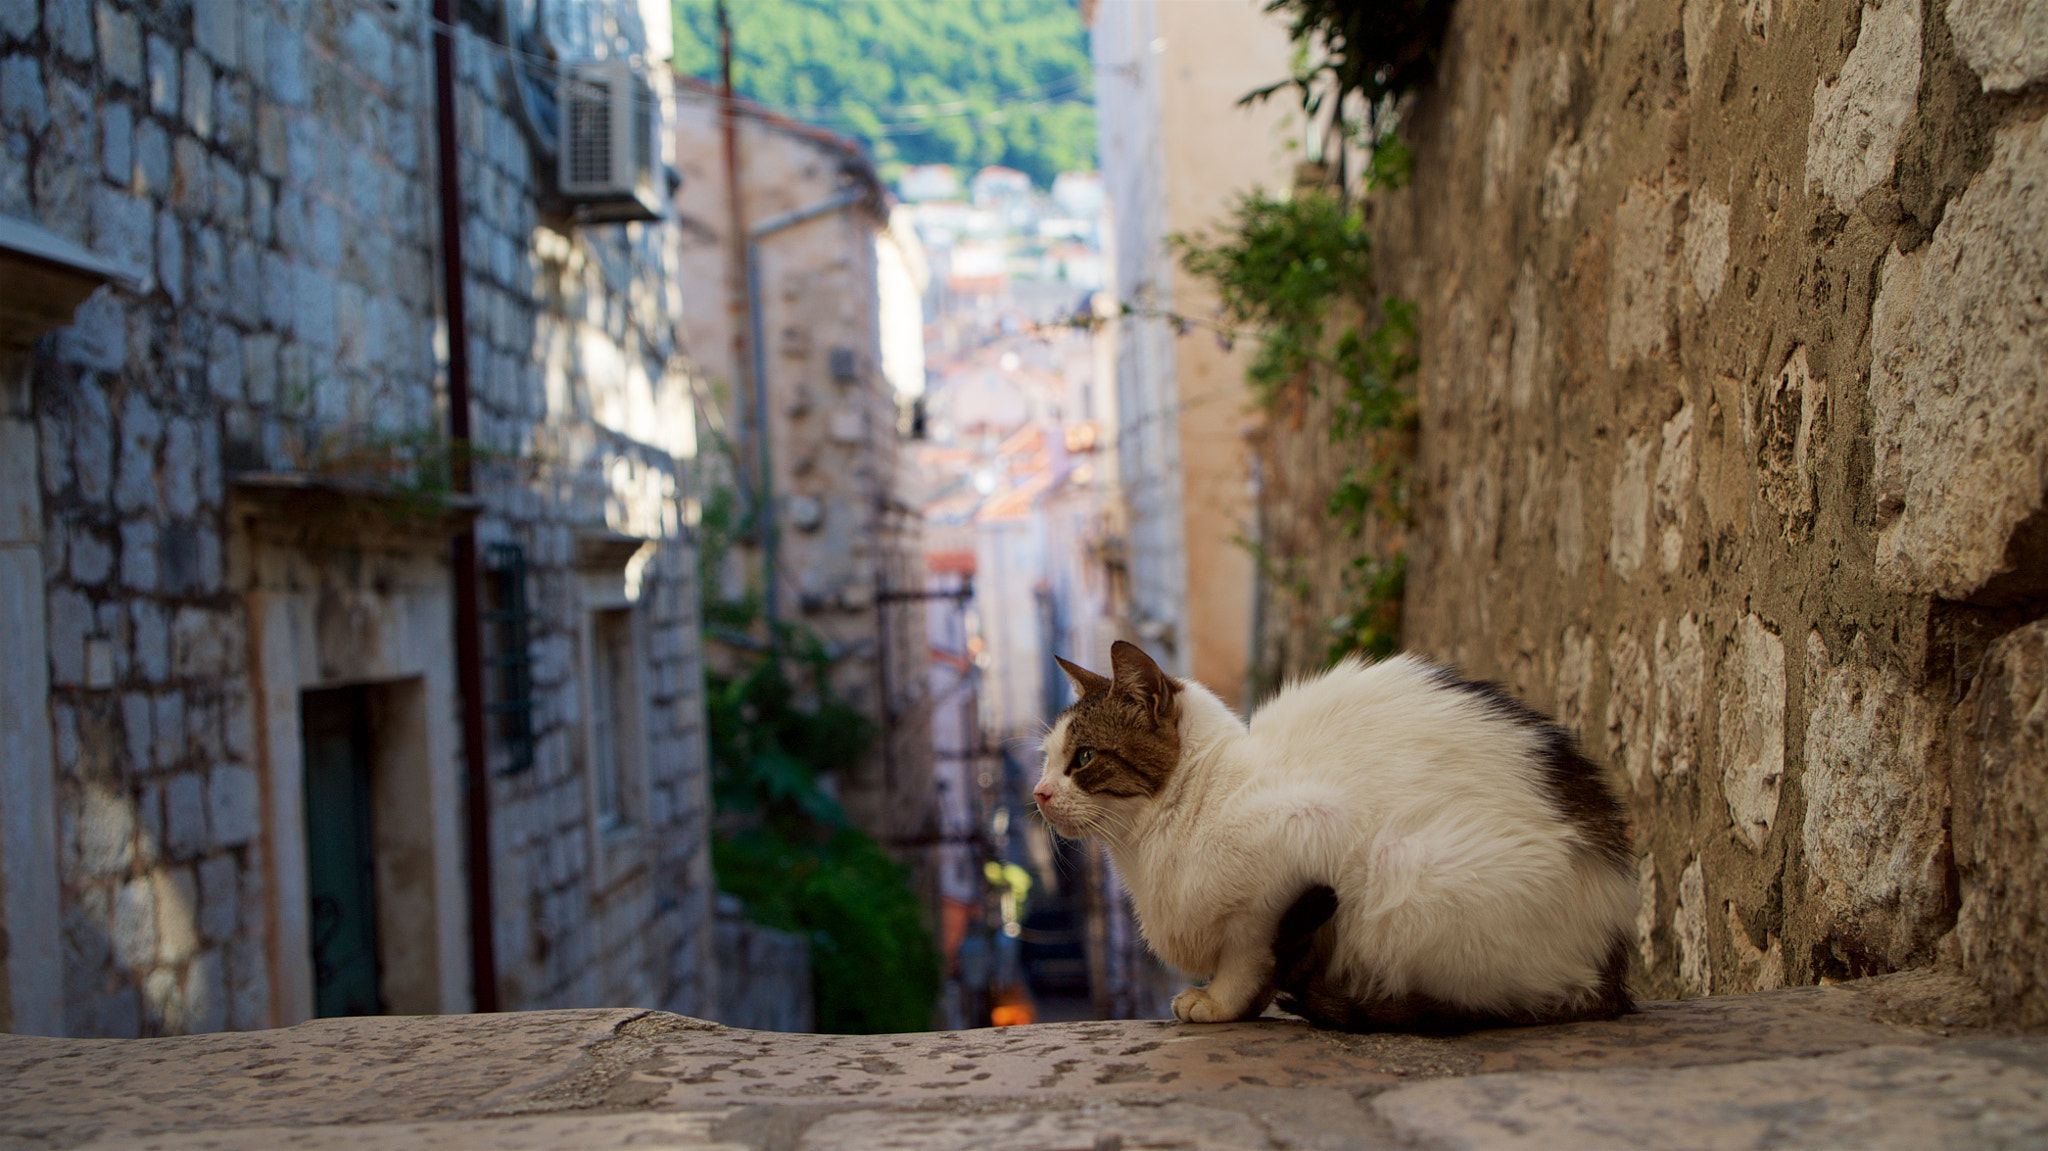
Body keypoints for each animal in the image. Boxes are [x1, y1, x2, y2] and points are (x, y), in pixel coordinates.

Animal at [1032, 634, 1638, 1032]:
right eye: (1046, 759)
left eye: (1083, 758)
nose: (1038, 794)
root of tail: (1613, 972)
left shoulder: (1303, 840)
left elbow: (1248, 953)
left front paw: (1222, 1002)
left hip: (1405, 870)